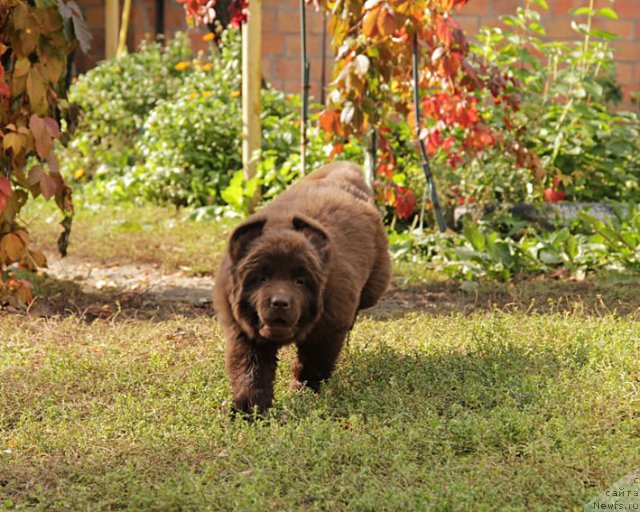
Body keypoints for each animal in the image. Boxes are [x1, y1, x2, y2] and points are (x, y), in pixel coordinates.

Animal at [214, 162, 390, 414]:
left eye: (300, 281)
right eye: (261, 278)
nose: (280, 302)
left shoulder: (328, 327)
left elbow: (312, 364)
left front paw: (302, 393)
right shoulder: (242, 328)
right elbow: (250, 367)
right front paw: (248, 406)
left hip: (375, 283)